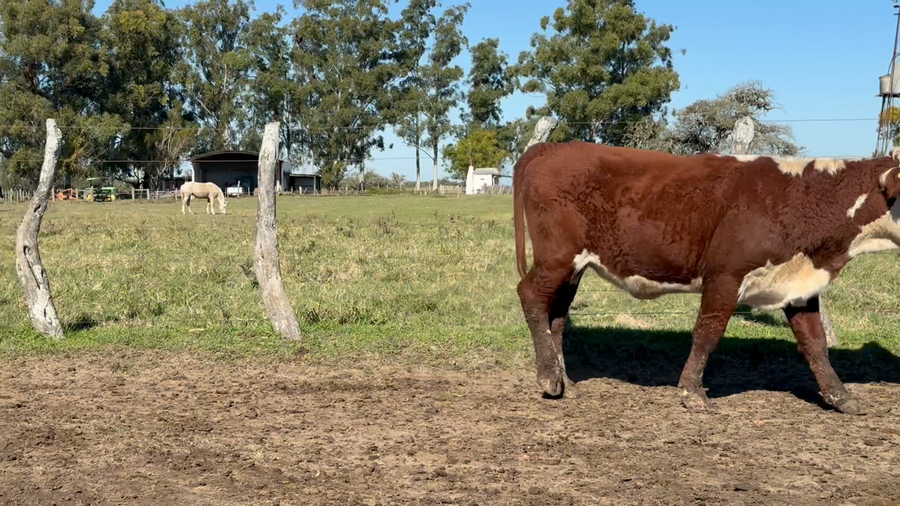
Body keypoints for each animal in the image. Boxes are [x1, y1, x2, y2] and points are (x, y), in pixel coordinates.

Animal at [512, 141, 900, 415]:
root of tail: (551, 147)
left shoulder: (798, 287)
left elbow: (815, 344)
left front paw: (840, 396)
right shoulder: (725, 276)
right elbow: (707, 334)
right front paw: (692, 392)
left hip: (572, 269)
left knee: (556, 317)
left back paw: (564, 379)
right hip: (557, 258)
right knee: (530, 295)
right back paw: (549, 378)